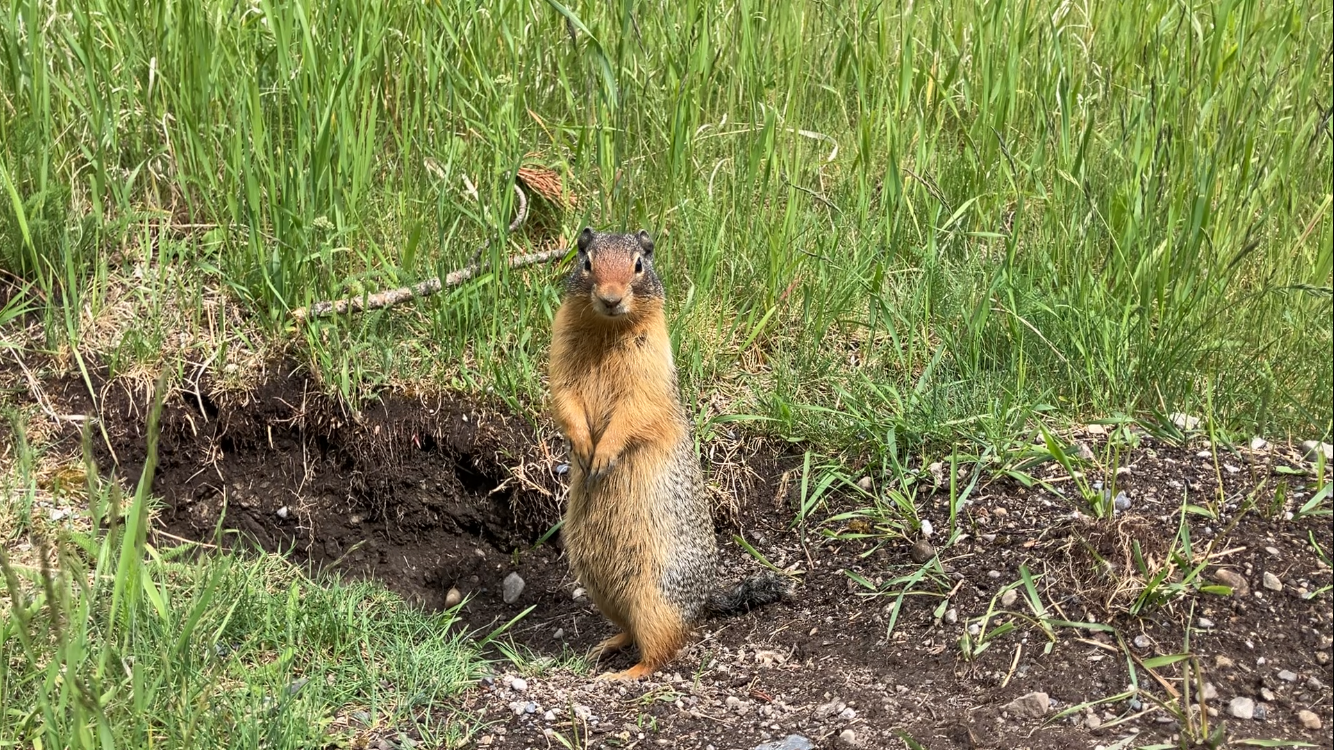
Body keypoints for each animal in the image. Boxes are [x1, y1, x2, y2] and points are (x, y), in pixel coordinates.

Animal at [546, 226, 784, 677]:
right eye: (587, 262)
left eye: (639, 264)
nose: (611, 297)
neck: (607, 331)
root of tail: (705, 598)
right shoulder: (560, 356)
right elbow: (565, 400)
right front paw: (583, 447)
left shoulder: (650, 369)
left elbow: (633, 412)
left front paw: (602, 455)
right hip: (601, 587)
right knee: (630, 631)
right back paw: (605, 647)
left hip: (655, 596)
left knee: (663, 648)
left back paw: (625, 674)